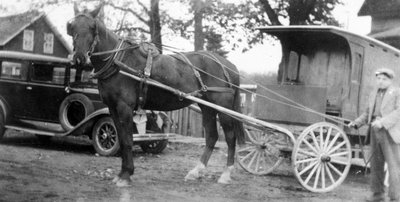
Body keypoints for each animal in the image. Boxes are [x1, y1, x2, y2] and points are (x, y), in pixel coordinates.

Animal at [67, 5, 245, 186]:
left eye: (92, 27)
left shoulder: (125, 107)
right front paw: (122, 173)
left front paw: (126, 175)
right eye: (72, 28)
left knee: (230, 137)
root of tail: (229, 66)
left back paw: (226, 174)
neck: (118, 61)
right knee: (211, 136)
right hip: (207, 107)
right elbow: (122, 139)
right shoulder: (112, 108)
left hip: (223, 107)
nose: (80, 58)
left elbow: (128, 140)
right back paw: (196, 171)